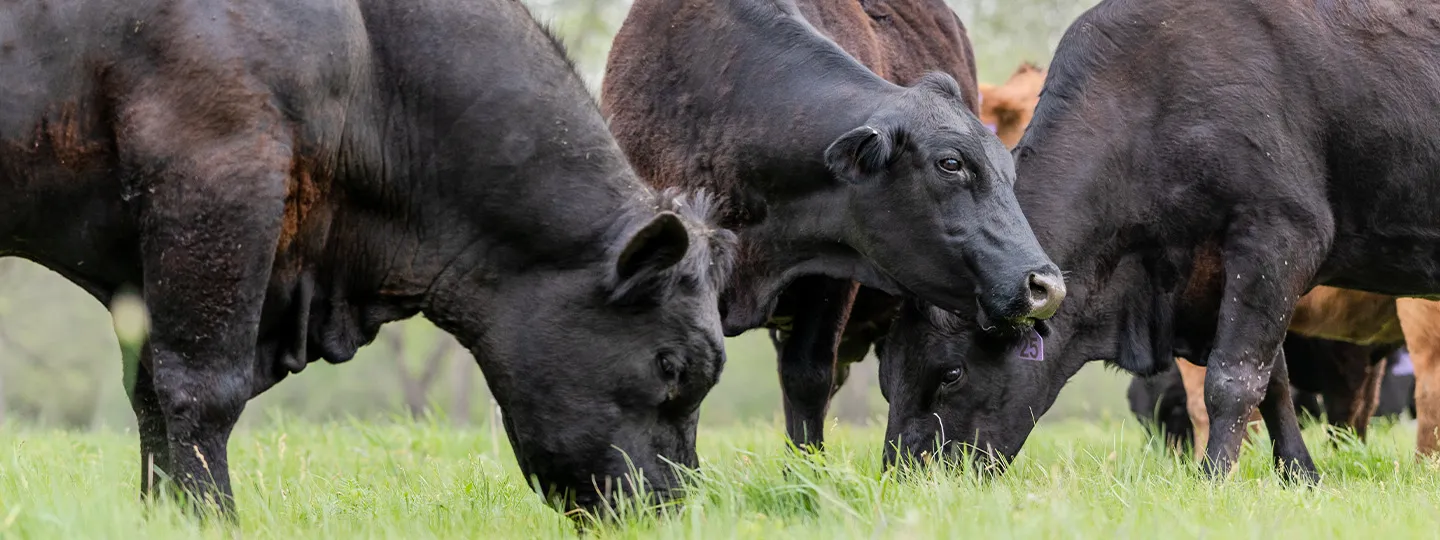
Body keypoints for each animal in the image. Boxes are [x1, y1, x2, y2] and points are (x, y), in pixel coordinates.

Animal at [0, 0, 737, 516]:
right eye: (671, 366)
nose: (675, 504)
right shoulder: (216, 174)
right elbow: (201, 391)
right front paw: (210, 519)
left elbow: (150, 396)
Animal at [877, 0, 1440, 483]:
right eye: (886, 378)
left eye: (950, 373)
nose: (904, 478)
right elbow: (1274, 381)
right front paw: (1300, 475)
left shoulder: (1280, 234)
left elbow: (1232, 380)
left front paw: (1214, 479)